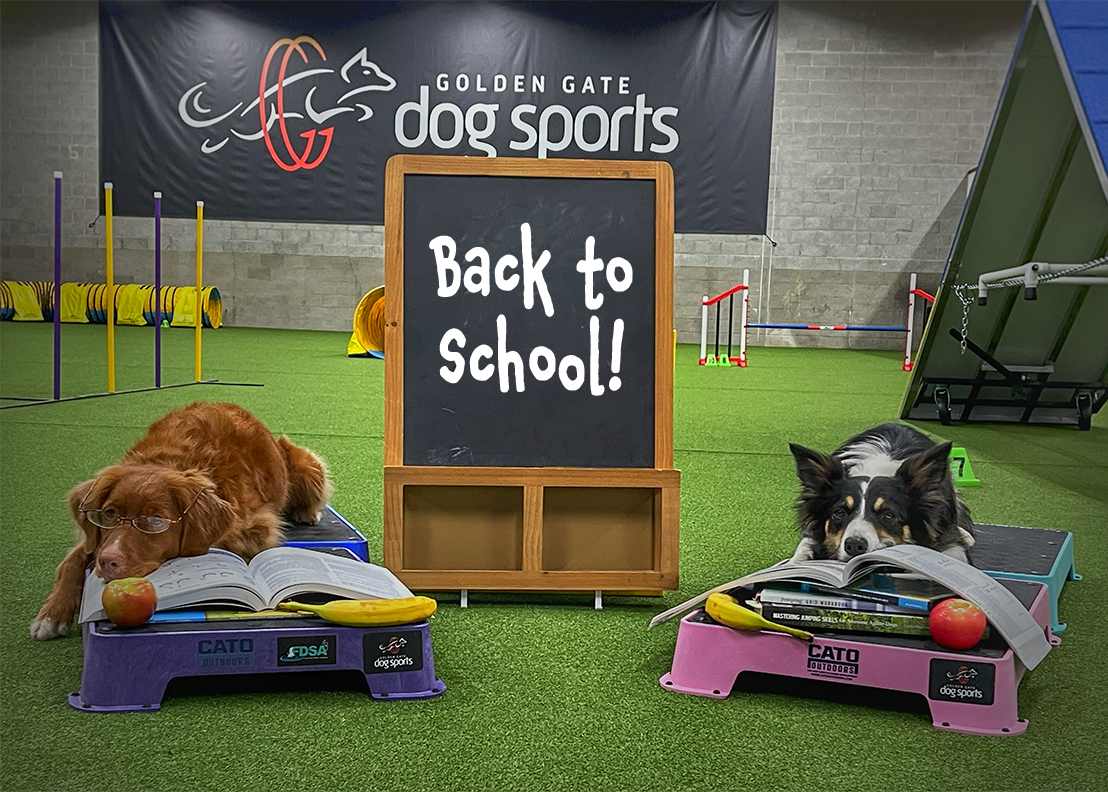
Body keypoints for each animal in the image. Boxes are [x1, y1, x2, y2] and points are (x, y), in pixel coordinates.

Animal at [30, 403, 330, 638]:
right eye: (110, 514)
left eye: (154, 520)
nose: (108, 562)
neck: (170, 462)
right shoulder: (97, 537)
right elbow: (70, 561)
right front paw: (51, 614)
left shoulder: (256, 527)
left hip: (307, 466)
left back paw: (308, 512)